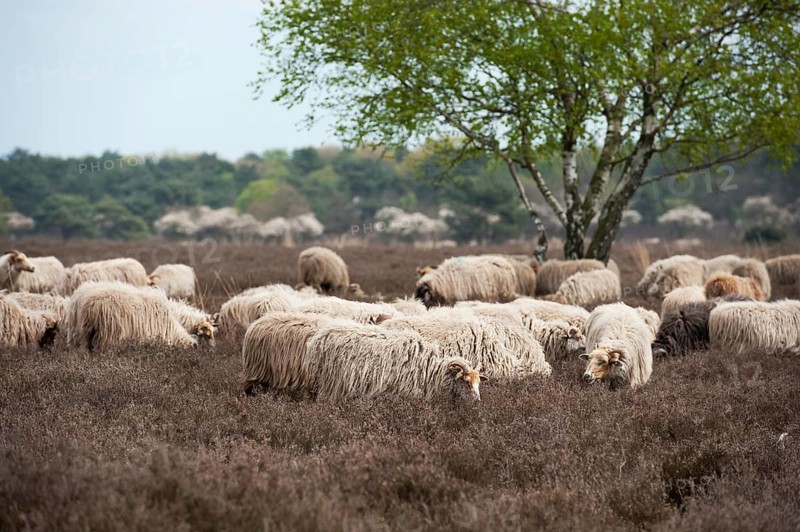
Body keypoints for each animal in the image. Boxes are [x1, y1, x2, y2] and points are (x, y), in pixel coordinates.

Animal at [306, 320, 482, 401]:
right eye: (467, 382)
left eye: (479, 382)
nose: (477, 401)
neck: (430, 370)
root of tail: (319, 337)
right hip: (330, 383)